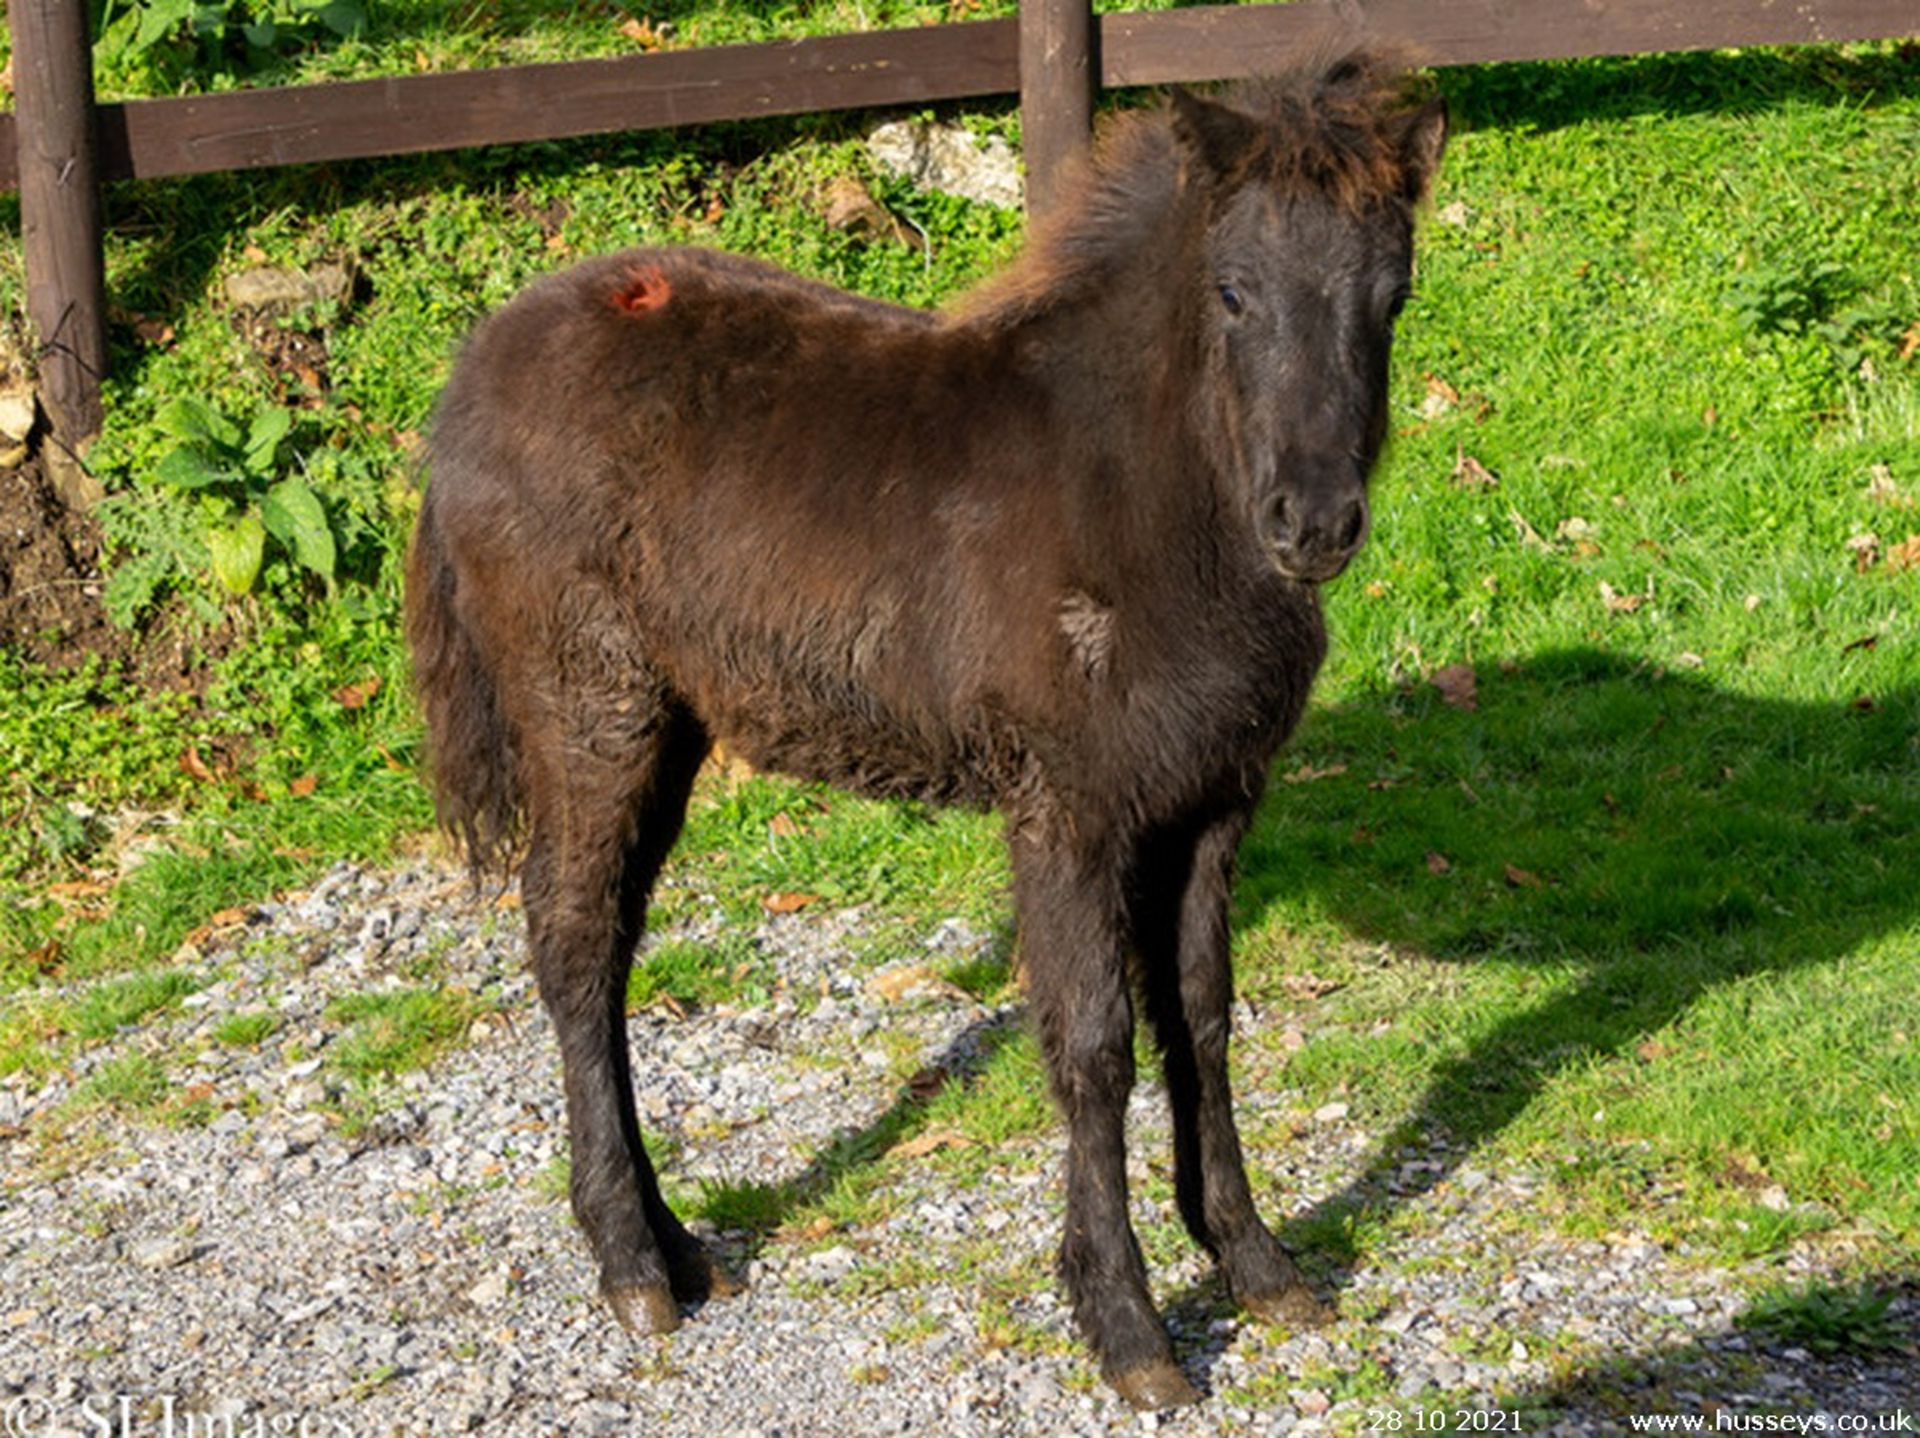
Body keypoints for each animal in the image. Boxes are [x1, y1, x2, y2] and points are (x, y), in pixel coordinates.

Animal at [408, 50, 1451, 1405]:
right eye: (1233, 292)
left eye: (1394, 294)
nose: (1315, 522)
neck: (1150, 499)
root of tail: (467, 380)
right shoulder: (1068, 805)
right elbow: (1095, 1044)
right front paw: (1127, 1325)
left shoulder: (1211, 799)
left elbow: (1205, 1015)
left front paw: (1256, 1260)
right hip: (591, 709)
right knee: (574, 942)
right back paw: (632, 1264)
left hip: (672, 728)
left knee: (616, 943)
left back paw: (680, 1244)